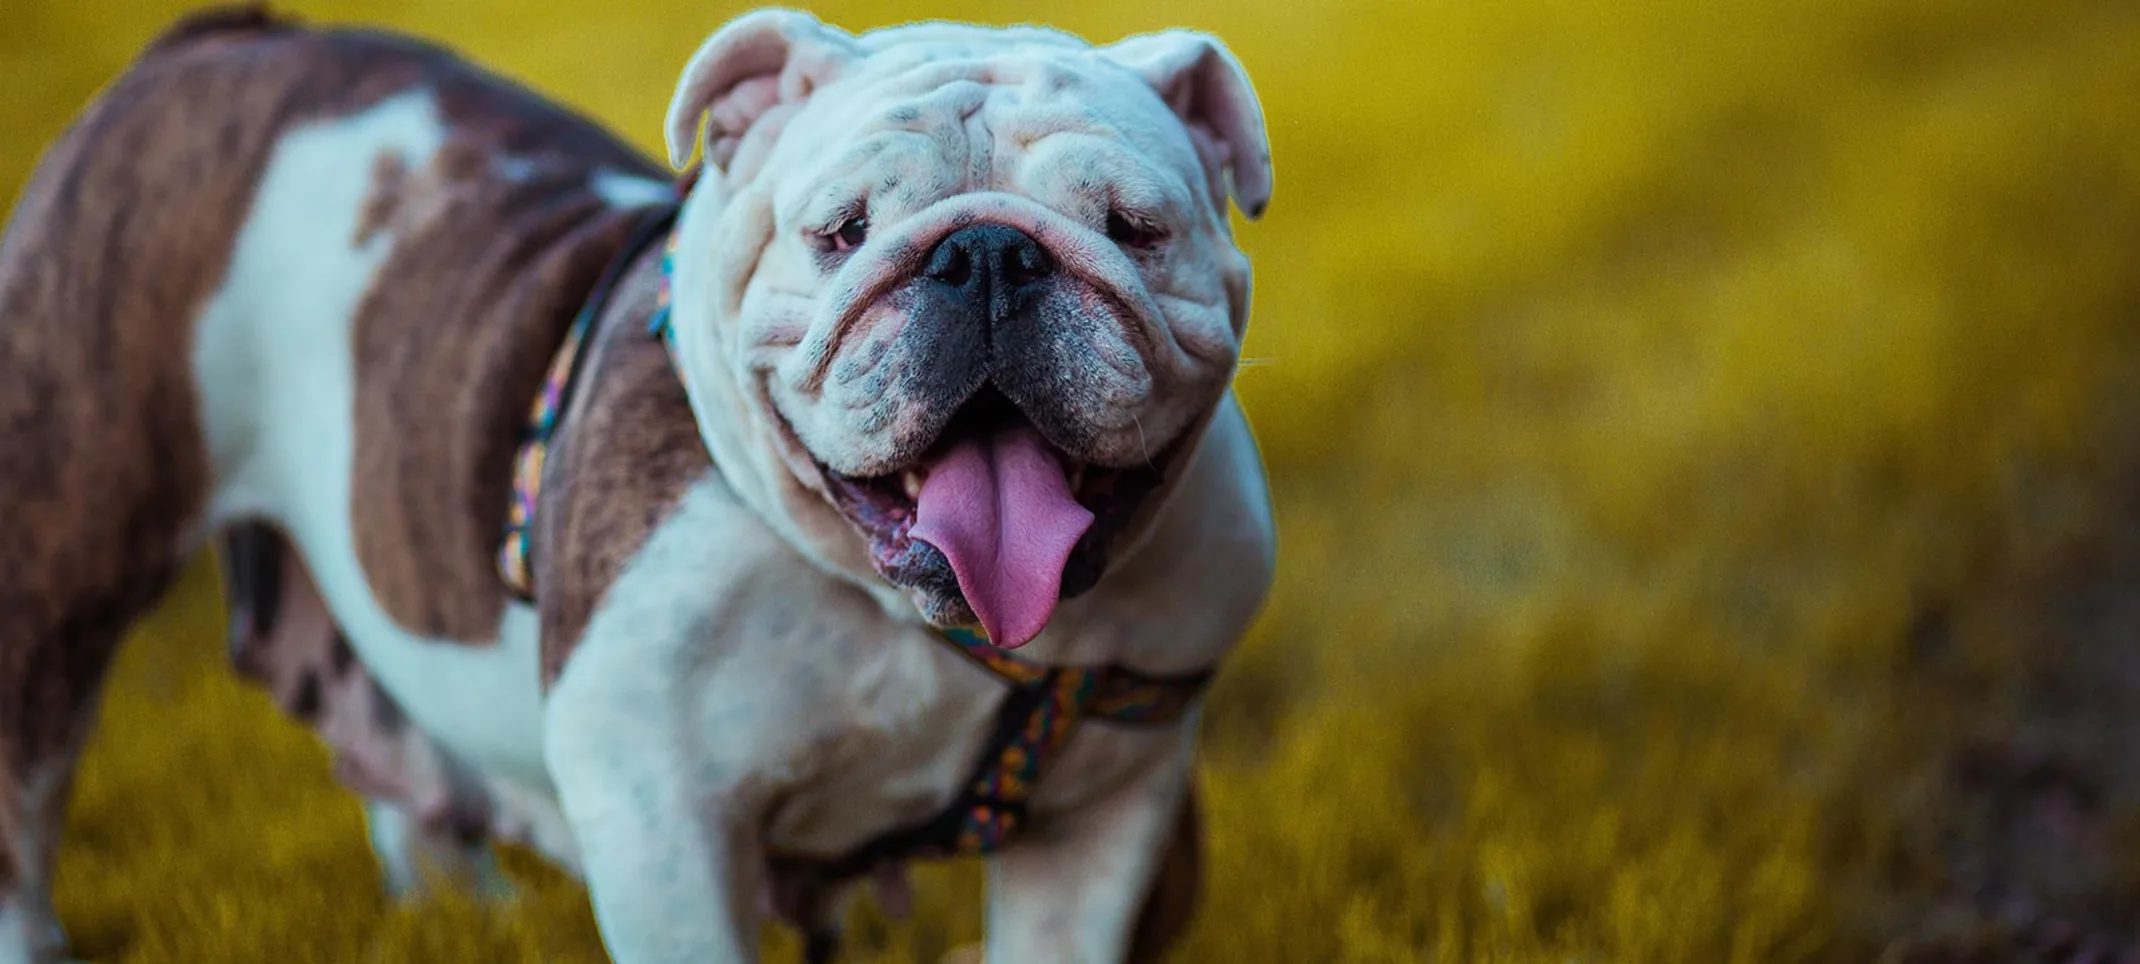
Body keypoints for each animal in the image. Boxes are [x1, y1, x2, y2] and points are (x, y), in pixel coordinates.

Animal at [0, 7, 1266, 964]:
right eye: (840, 230)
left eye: (1135, 229)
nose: (991, 252)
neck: (906, 613)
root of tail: (222, 38)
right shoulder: (663, 821)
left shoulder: (1101, 819)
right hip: (60, 553)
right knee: (26, 796)